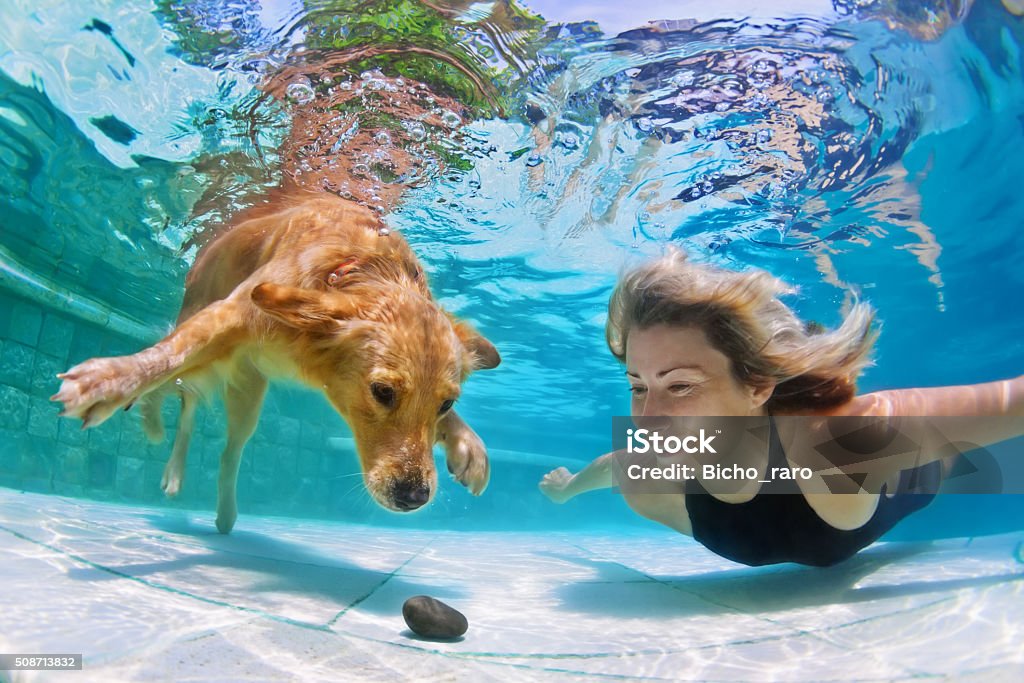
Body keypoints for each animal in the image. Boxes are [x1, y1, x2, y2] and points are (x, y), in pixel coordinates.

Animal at [51, 192, 499, 532]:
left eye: (446, 403)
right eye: (382, 392)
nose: (414, 497)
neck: (356, 266)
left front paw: (468, 446)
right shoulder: (230, 312)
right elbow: (164, 358)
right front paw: (112, 380)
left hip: (249, 393)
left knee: (225, 448)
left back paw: (225, 514)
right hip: (200, 327)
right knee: (181, 393)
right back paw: (165, 453)